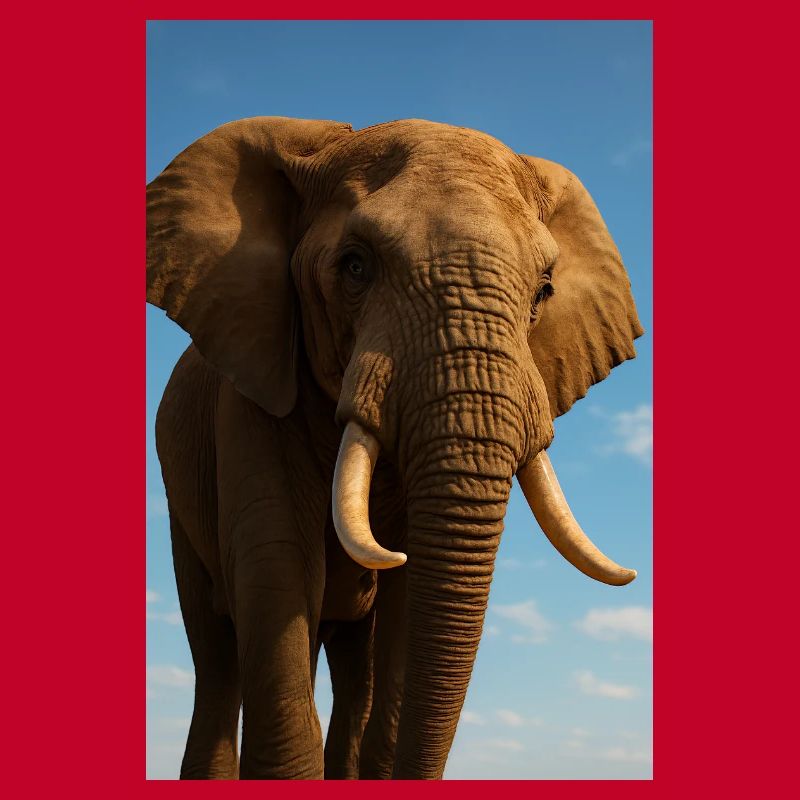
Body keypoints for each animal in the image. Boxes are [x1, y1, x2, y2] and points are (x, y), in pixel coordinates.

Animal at [146, 116, 643, 780]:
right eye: (355, 267)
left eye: (544, 291)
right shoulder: (251, 387)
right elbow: (277, 570)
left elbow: (407, 604)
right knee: (219, 662)